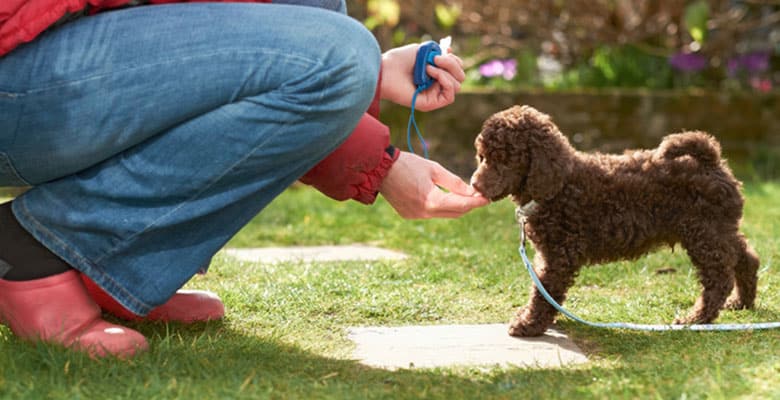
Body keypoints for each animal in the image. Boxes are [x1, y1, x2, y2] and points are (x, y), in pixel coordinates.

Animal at [472, 104, 760, 336]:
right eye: (482, 156)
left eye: (504, 158)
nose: (474, 185)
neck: (560, 185)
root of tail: (711, 161)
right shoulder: (549, 254)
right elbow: (542, 288)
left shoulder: (559, 255)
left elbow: (544, 291)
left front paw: (528, 324)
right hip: (718, 229)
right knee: (746, 257)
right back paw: (742, 301)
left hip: (704, 232)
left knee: (719, 277)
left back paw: (696, 319)